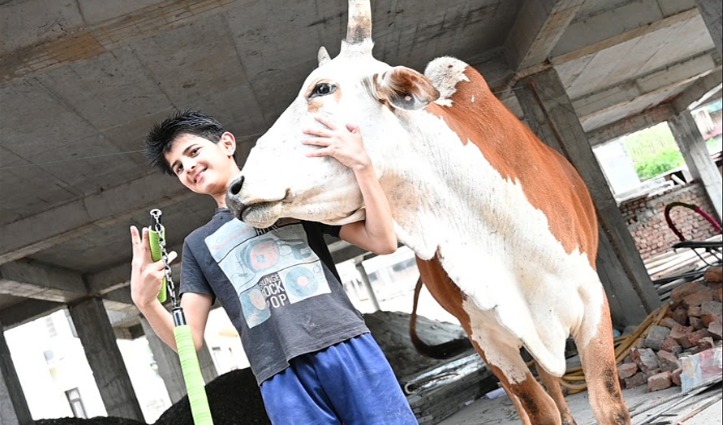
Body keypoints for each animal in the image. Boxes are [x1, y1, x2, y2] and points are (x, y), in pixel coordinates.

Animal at [226, 1, 632, 422]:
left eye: (322, 88)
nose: (235, 188)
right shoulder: (488, 340)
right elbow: (538, 408)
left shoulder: (592, 306)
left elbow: (609, 406)